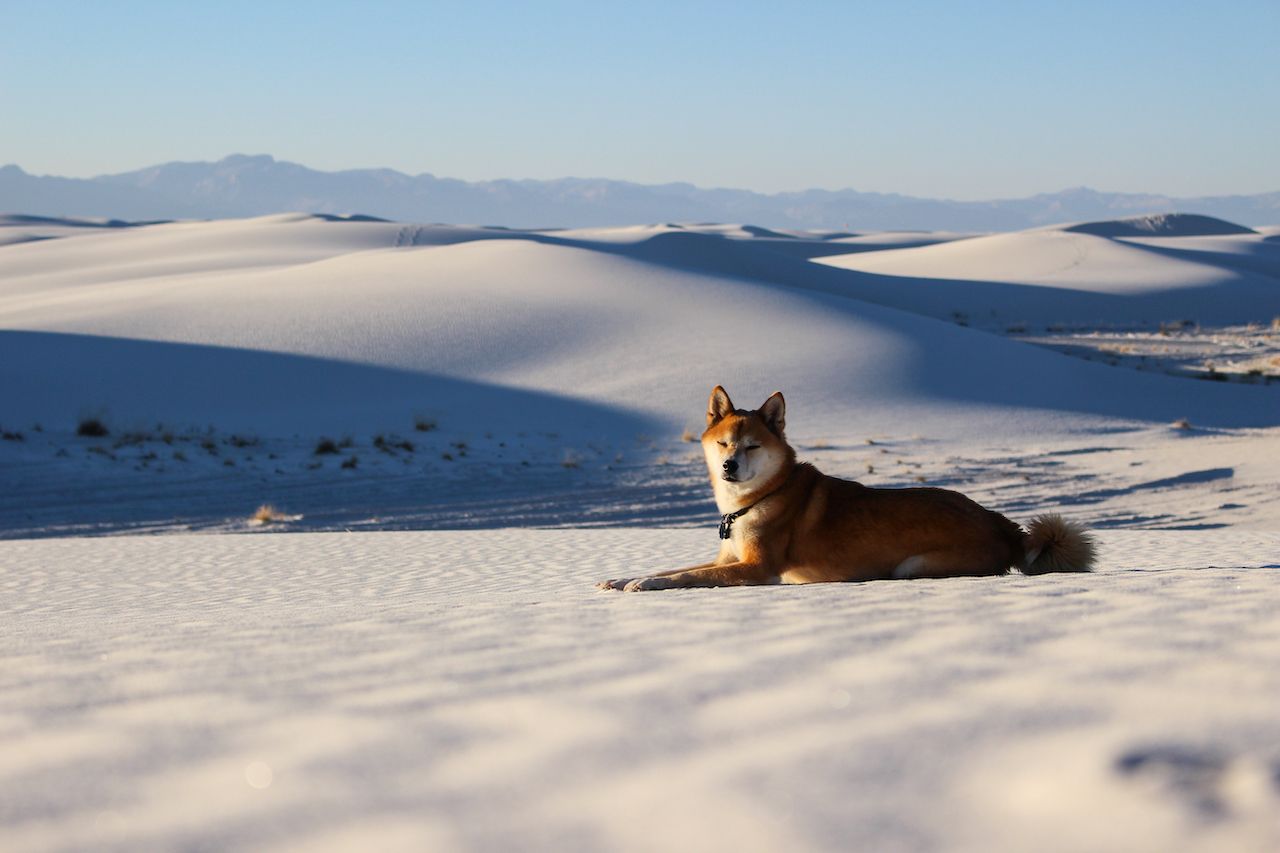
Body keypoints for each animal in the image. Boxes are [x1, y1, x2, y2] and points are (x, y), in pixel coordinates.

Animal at [596, 384, 1090, 591]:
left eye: (752, 445)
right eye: (723, 443)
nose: (730, 466)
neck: (757, 499)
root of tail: (1002, 524)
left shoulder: (756, 568)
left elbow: (685, 577)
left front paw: (644, 584)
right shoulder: (728, 558)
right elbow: (673, 567)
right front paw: (623, 577)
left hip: (912, 565)